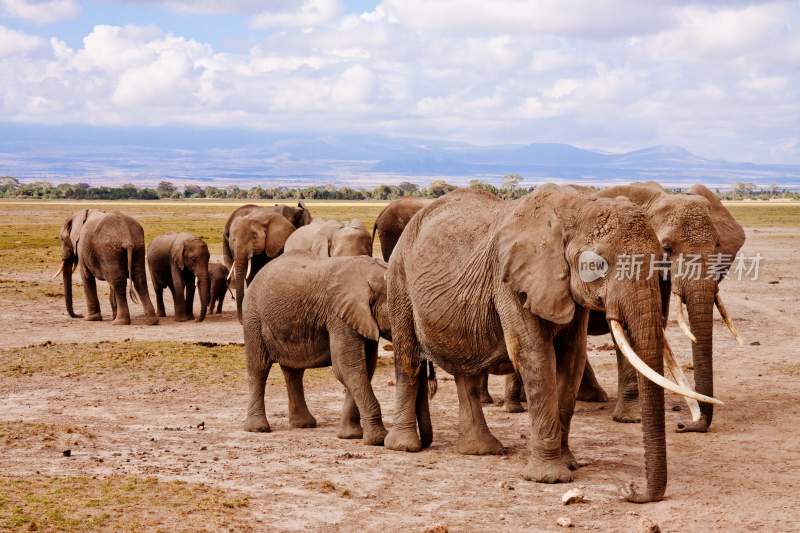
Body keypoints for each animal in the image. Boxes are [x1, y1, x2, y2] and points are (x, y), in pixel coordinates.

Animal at [244, 250, 394, 444]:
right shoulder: (339, 316)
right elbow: (347, 367)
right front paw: (378, 440)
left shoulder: (361, 318)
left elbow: (364, 368)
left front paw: (349, 436)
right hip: (253, 316)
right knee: (259, 367)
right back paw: (258, 429)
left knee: (294, 372)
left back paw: (304, 424)